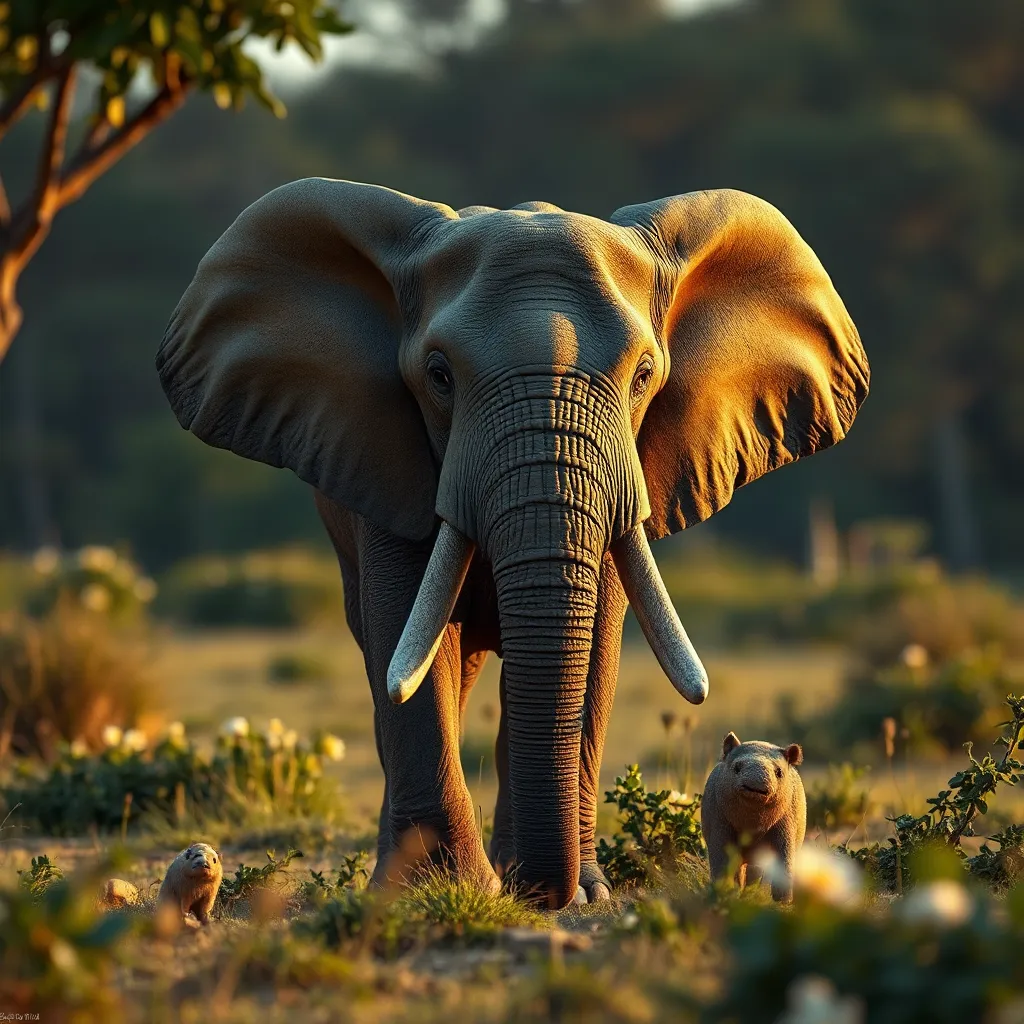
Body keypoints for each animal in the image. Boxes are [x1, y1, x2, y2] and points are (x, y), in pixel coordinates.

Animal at [156, 178, 868, 909]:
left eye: (644, 375)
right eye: (439, 375)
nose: (542, 892)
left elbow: (594, 652)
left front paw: (583, 897)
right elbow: (407, 648)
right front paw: (440, 891)